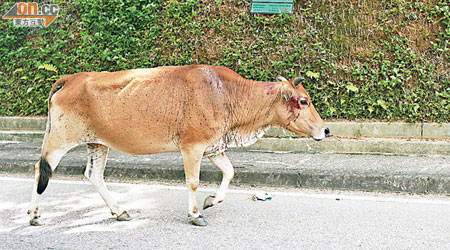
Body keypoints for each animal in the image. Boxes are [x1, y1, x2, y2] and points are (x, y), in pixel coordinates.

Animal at [29, 64, 330, 227]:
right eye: (303, 101)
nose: (325, 129)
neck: (227, 94)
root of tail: (70, 78)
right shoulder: (192, 147)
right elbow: (193, 182)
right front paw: (196, 214)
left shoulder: (214, 147)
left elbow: (230, 172)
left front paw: (211, 201)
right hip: (60, 138)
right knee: (41, 169)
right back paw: (33, 215)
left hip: (97, 143)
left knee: (94, 175)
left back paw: (120, 211)